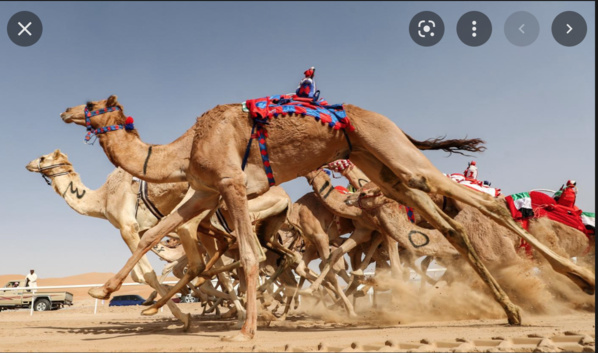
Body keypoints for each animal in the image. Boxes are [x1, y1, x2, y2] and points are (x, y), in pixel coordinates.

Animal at [61, 95, 596, 340]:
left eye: (91, 105)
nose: (66, 112)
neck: (182, 148)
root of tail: (389, 122)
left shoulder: (230, 186)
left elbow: (250, 255)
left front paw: (246, 331)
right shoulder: (204, 192)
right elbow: (154, 233)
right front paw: (108, 292)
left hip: (394, 155)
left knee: (484, 208)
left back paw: (577, 284)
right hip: (381, 170)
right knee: (453, 226)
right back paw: (512, 311)